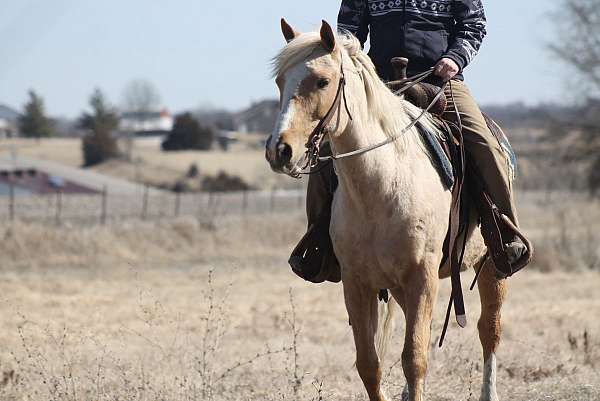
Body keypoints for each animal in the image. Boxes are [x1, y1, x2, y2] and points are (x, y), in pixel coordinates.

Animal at [268, 20, 506, 400]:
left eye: (322, 81)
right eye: (280, 81)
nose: (280, 150)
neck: (381, 185)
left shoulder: (422, 277)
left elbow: (415, 358)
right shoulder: (357, 282)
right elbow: (370, 364)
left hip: (491, 266)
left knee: (490, 329)